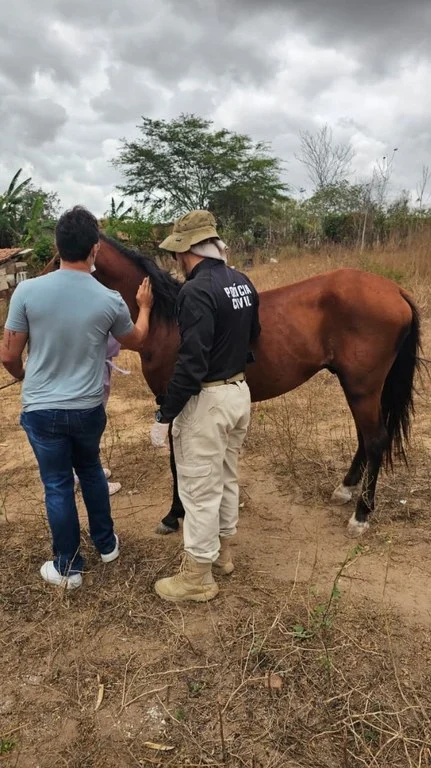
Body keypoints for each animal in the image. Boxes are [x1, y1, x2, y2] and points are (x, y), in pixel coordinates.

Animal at [41, 234, 422, 537]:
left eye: (59, 258)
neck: (166, 319)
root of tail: (395, 290)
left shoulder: (172, 400)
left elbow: (177, 462)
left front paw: (174, 515)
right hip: (358, 387)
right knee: (365, 438)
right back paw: (345, 490)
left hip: (362, 387)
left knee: (375, 440)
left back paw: (361, 515)